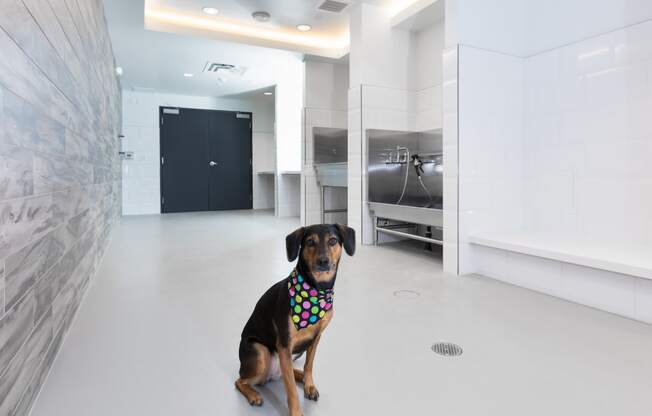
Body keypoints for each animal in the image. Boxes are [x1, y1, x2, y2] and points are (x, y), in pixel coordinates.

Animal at [236, 224, 354, 416]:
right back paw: (253, 395)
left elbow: (308, 366)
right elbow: (290, 388)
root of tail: (270, 375)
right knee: (241, 380)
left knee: (291, 371)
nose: (323, 261)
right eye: (310, 242)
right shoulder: (284, 344)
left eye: (333, 241)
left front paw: (309, 385)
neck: (316, 290)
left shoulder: (315, 338)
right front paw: (296, 412)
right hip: (260, 352)